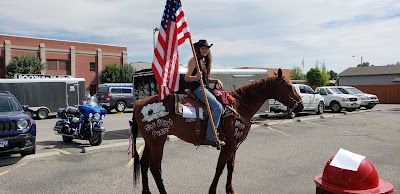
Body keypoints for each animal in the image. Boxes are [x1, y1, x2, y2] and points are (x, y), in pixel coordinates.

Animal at [131, 69, 304, 193]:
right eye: (289, 86)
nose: (301, 105)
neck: (238, 107)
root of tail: (139, 103)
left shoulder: (234, 146)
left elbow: (230, 167)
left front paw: (230, 190)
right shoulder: (228, 146)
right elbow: (220, 167)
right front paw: (213, 190)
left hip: (150, 142)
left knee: (144, 164)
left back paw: (146, 192)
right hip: (157, 142)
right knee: (155, 169)